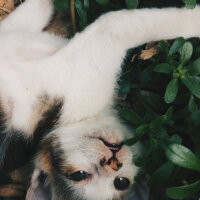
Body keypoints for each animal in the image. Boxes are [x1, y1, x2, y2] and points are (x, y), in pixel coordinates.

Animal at [0, 0, 199, 200]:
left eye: (121, 182)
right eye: (79, 175)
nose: (113, 161)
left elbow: (28, 15)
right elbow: (116, 22)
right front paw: (194, 18)